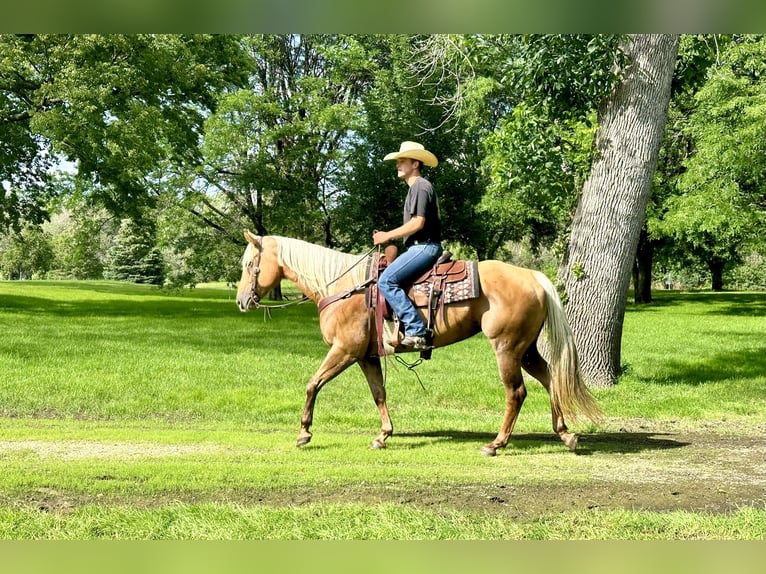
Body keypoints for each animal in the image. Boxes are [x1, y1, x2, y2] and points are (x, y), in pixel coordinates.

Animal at [237, 232, 604, 456]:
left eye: (249, 264)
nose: (241, 301)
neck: (343, 286)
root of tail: (533, 277)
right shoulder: (367, 356)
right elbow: (379, 393)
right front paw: (383, 435)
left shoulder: (344, 350)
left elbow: (313, 384)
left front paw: (304, 432)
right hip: (526, 349)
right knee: (550, 378)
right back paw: (566, 434)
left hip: (507, 347)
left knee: (517, 392)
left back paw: (495, 444)